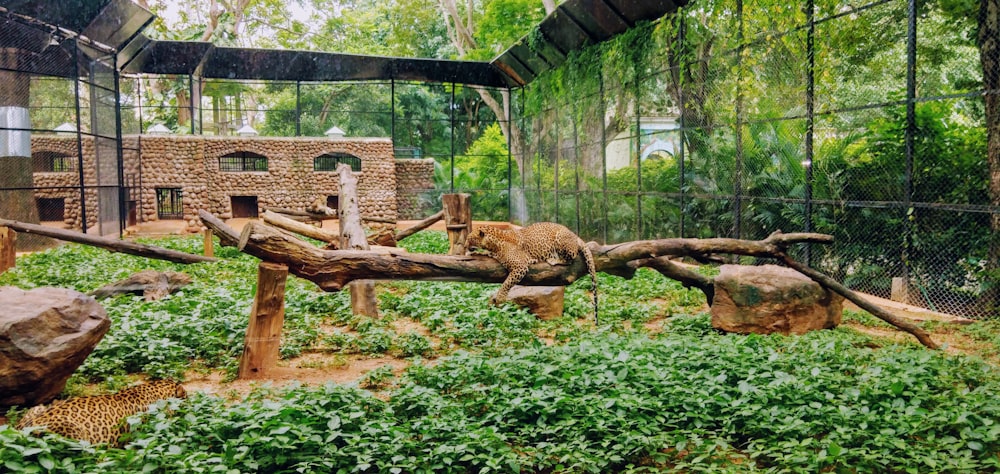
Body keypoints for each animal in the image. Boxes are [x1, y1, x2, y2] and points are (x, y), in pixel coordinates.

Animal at [466, 222, 596, 322]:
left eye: (469, 239)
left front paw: (500, 297)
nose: (465, 245)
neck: (494, 244)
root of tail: (575, 235)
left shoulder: (520, 266)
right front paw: (474, 253)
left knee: (571, 258)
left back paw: (554, 259)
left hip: (561, 239)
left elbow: (507, 283)